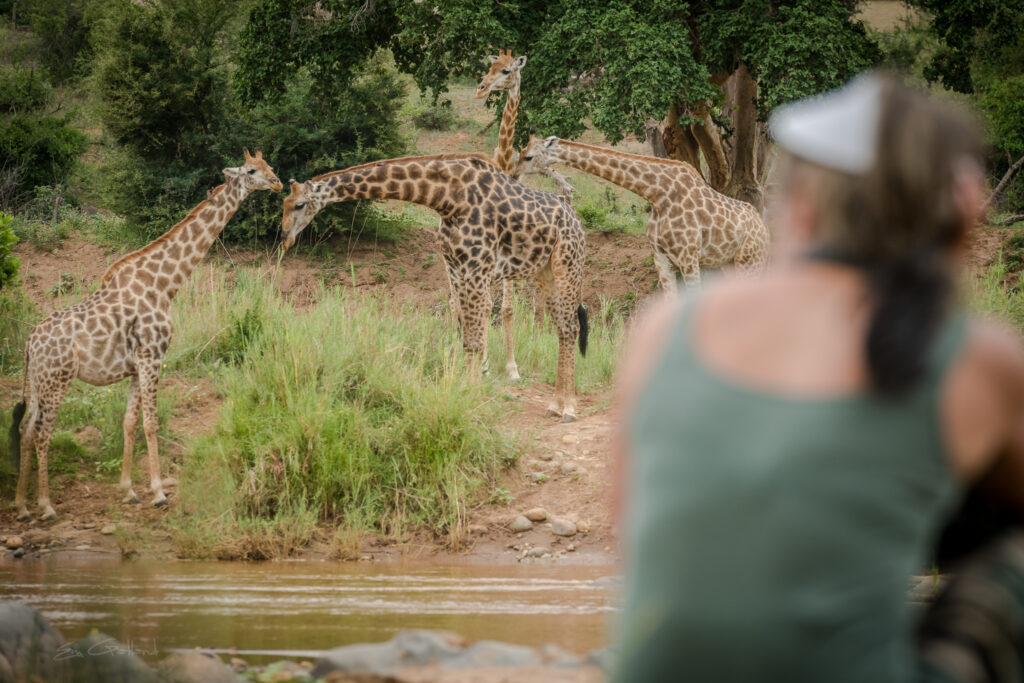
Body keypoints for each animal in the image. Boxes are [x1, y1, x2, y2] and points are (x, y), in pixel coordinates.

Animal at [9, 149, 284, 520]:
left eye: (269, 166)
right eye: (253, 171)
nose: (278, 183)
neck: (164, 286)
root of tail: (28, 344)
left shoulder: (136, 365)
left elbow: (129, 421)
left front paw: (128, 491)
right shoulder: (153, 356)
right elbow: (151, 423)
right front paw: (158, 493)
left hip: (39, 383)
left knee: (25, 431)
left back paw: (22, 506)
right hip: (57, 381)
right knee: (42, 434)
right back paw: (46, 506)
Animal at [280, 154, 589, 421]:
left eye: (299, 205)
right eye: (284, 203)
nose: (284, 238)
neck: (446, 198)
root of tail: (576, 219)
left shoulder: (476, 268)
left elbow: (475, 341)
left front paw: (472, 398)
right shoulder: (456, 269)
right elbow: (466, 337)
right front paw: (467, 393)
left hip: (568, 265)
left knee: (571, 326)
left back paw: (569, 408)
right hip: (545, 272)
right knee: (563, 328)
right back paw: (554, 405)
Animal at [520, 135, 770, 290]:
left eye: (528, 156)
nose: (514, 173)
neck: (657, 195)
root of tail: (764, 228)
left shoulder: (688, 256)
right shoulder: (661, 257)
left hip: (750, 260)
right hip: (729, 264)